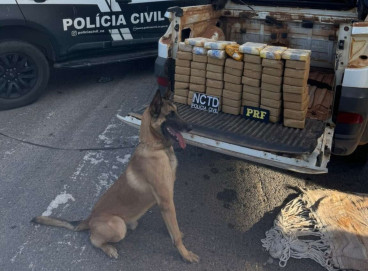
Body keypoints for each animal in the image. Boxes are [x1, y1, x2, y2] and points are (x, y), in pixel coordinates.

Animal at [31, 90, 198, 264]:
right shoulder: (166, 201)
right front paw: (185, 254)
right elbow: (176, 235)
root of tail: (89, 219)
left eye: (177, 112)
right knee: (93, 239)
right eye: (170, 114)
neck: (154, 147)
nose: (191, 127)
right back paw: (109, 248)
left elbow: (173, 228)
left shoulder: (165, 203)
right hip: (118, 226)